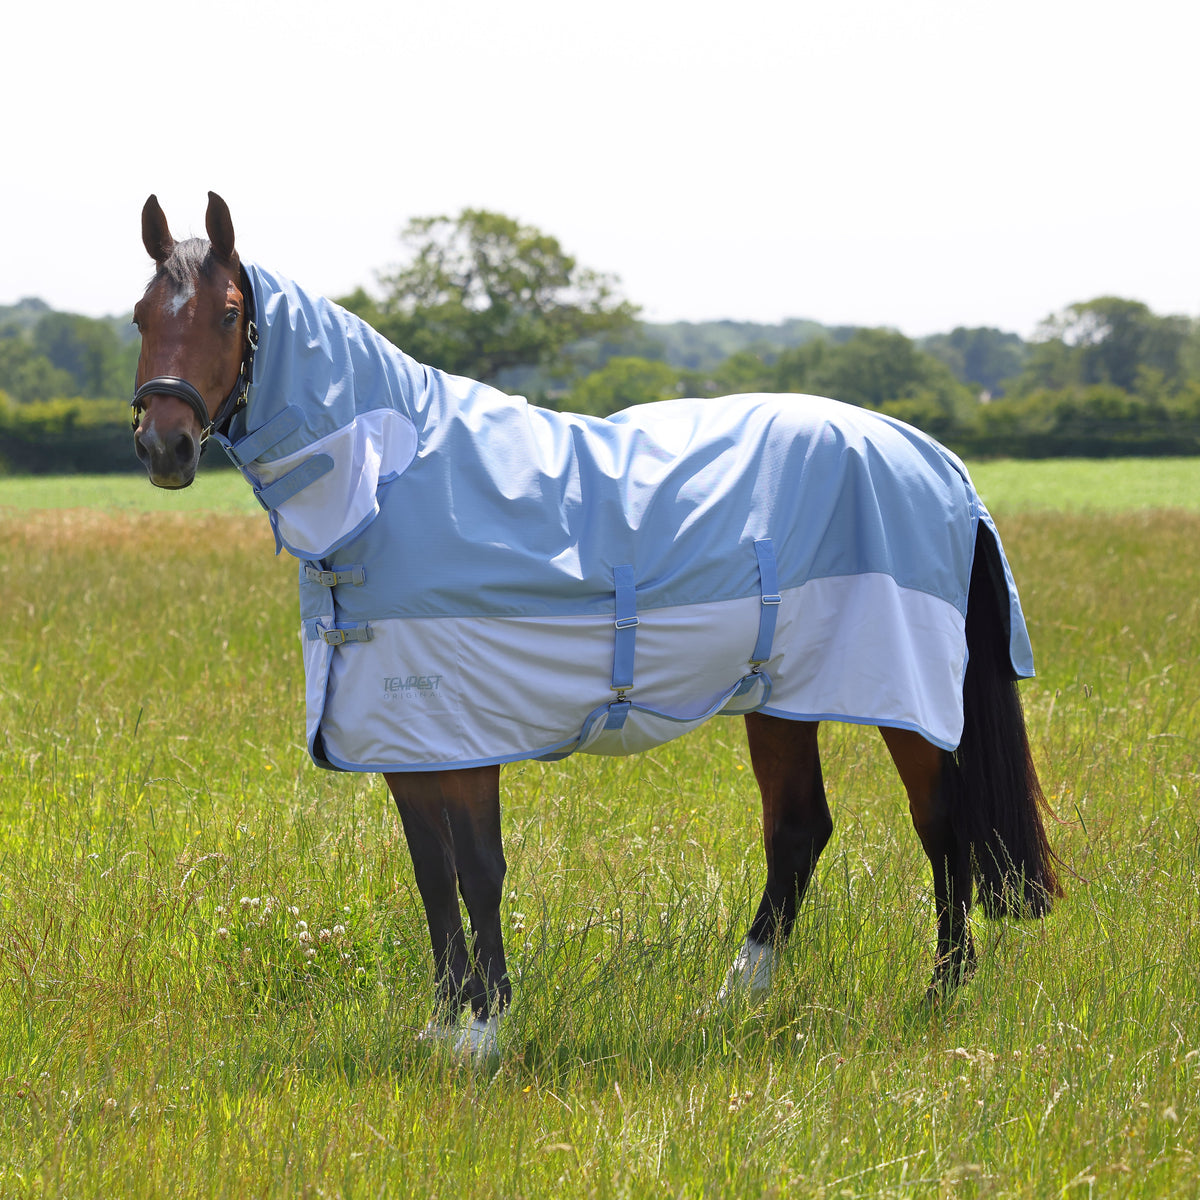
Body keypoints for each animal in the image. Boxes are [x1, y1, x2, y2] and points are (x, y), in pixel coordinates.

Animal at [131, 192, 1060, 1054]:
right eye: (141, 315)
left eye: (227, 313)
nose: (163, 446)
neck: (394, 483)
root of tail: (933, 458)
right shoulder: (403, 737)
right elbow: (433, 873)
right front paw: (441, 1027)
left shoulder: (464, 736)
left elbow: (480, 869)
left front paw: (484, 1033)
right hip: (779, 697)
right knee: (799, 830)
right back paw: (734, 1001)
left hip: (902, 698)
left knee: (940, 823)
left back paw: (939, 993)